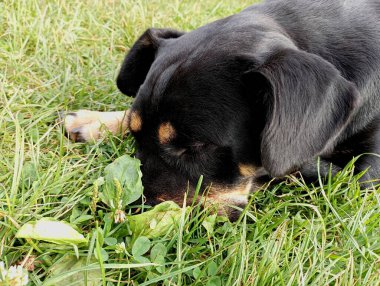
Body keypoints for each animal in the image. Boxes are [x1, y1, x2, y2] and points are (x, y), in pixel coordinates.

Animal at [61, 0, 380, 219]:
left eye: (196, 146)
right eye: (135, 134)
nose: (121, 213)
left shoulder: (365, 173)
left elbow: (291, 165)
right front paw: (94, 121)